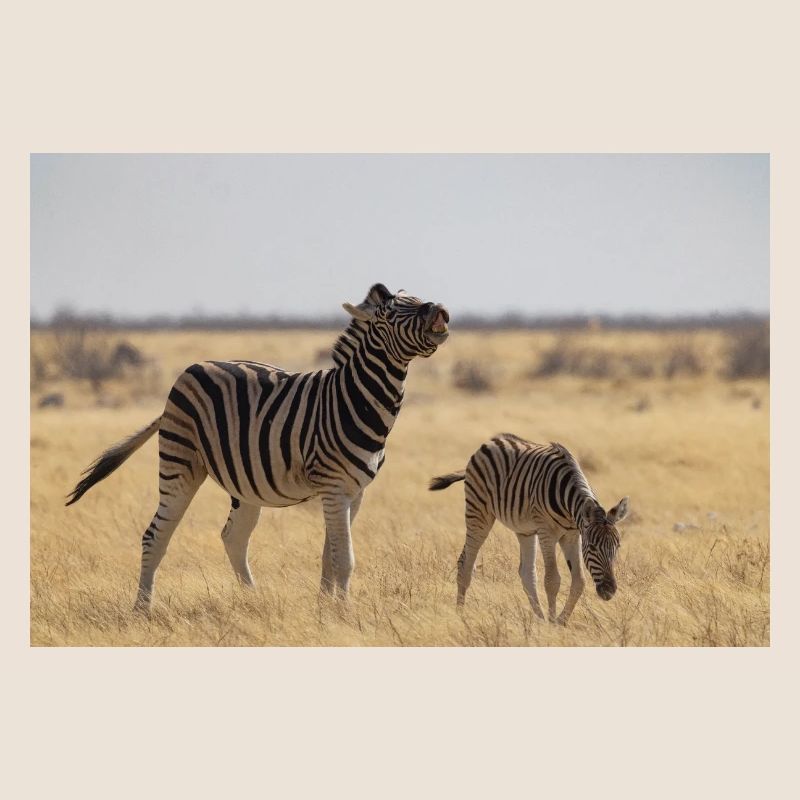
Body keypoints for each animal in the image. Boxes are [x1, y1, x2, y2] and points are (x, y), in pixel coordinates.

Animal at [66, 283, 450, 612]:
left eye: (417, 299)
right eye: (390, 313)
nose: (438, 309)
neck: (353, 400)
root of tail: (192, 368)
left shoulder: (354, 491)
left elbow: (331, 555)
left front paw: (325, 609)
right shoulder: (334, 487)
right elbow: (344, 559)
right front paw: (343, 613)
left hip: (245, 484)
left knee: (233, 537)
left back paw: (254, 599)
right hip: (179, 462)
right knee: (155, 536)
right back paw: (142, 609)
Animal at [429, 434, 629, 625]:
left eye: (617, 547)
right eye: (593, 547)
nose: (609, 592)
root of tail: (491, 442)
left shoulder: (572, 535)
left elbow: (579, 580)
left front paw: (560, 622)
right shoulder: (547, 532)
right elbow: (552, 580)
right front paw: (552, 623)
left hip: (524, 531)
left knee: (526, 573)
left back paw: (539, 619)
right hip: (478, 510)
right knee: (466, 563)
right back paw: (460, 613)